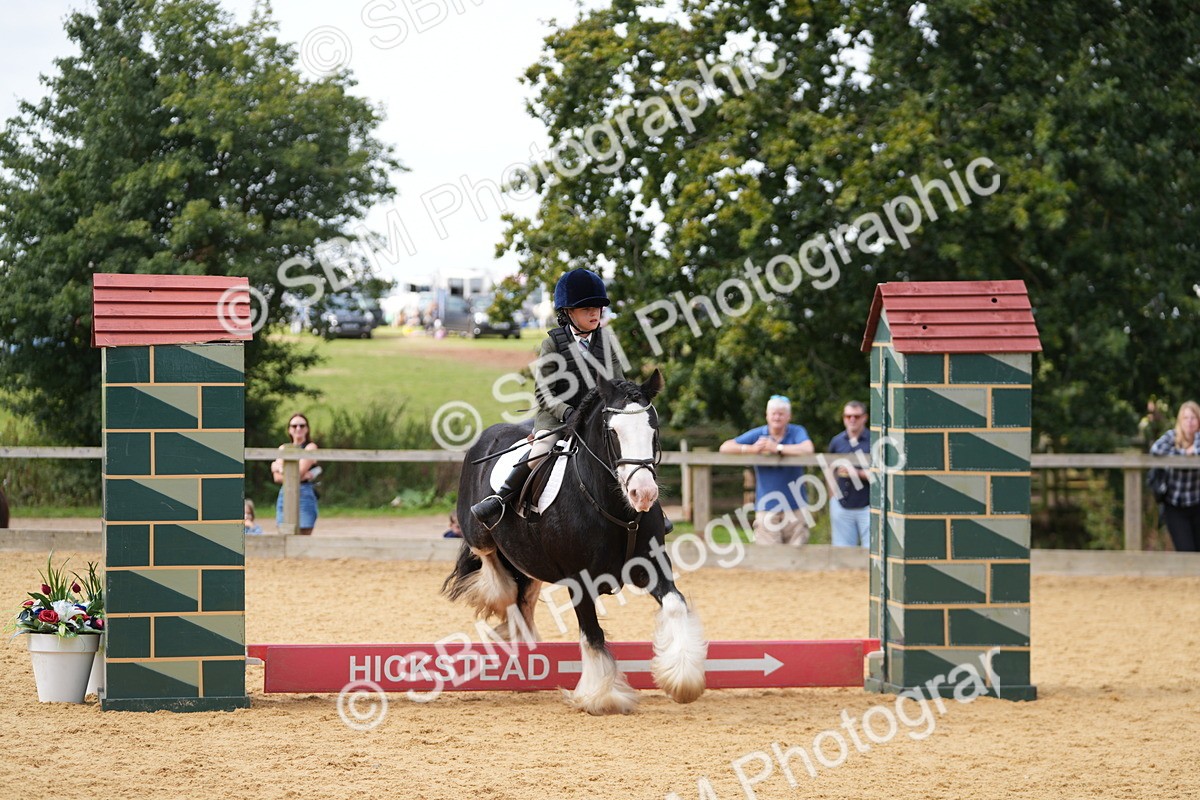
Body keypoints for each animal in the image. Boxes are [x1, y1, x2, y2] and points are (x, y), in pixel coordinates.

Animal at [443, 370, 706, 715]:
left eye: (653, 428)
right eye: (613, 432)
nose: (643, 494)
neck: (614, 506)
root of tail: (488, 435)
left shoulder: (652, 566)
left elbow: (675, 605)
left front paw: (683, 680)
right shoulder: (580, 581)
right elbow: (592, 634)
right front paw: (602, 696)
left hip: (529, 561)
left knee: (522, 598)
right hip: (479, 531)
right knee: (501, 582)